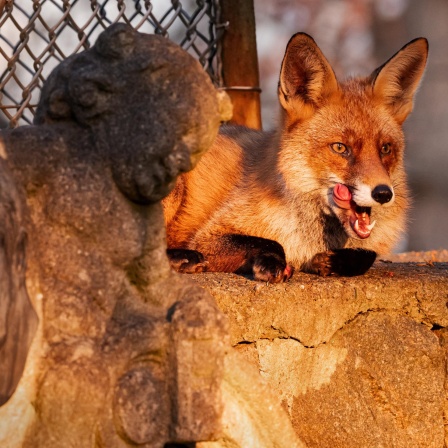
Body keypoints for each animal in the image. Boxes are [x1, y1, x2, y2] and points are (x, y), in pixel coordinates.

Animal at [163, 33, 428, 282]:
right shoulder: (208, 237)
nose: (383, 193)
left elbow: (369, 254)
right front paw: (272, 262)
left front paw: (335, 262)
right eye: (340, 148)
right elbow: (268, 241)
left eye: (385, 149)